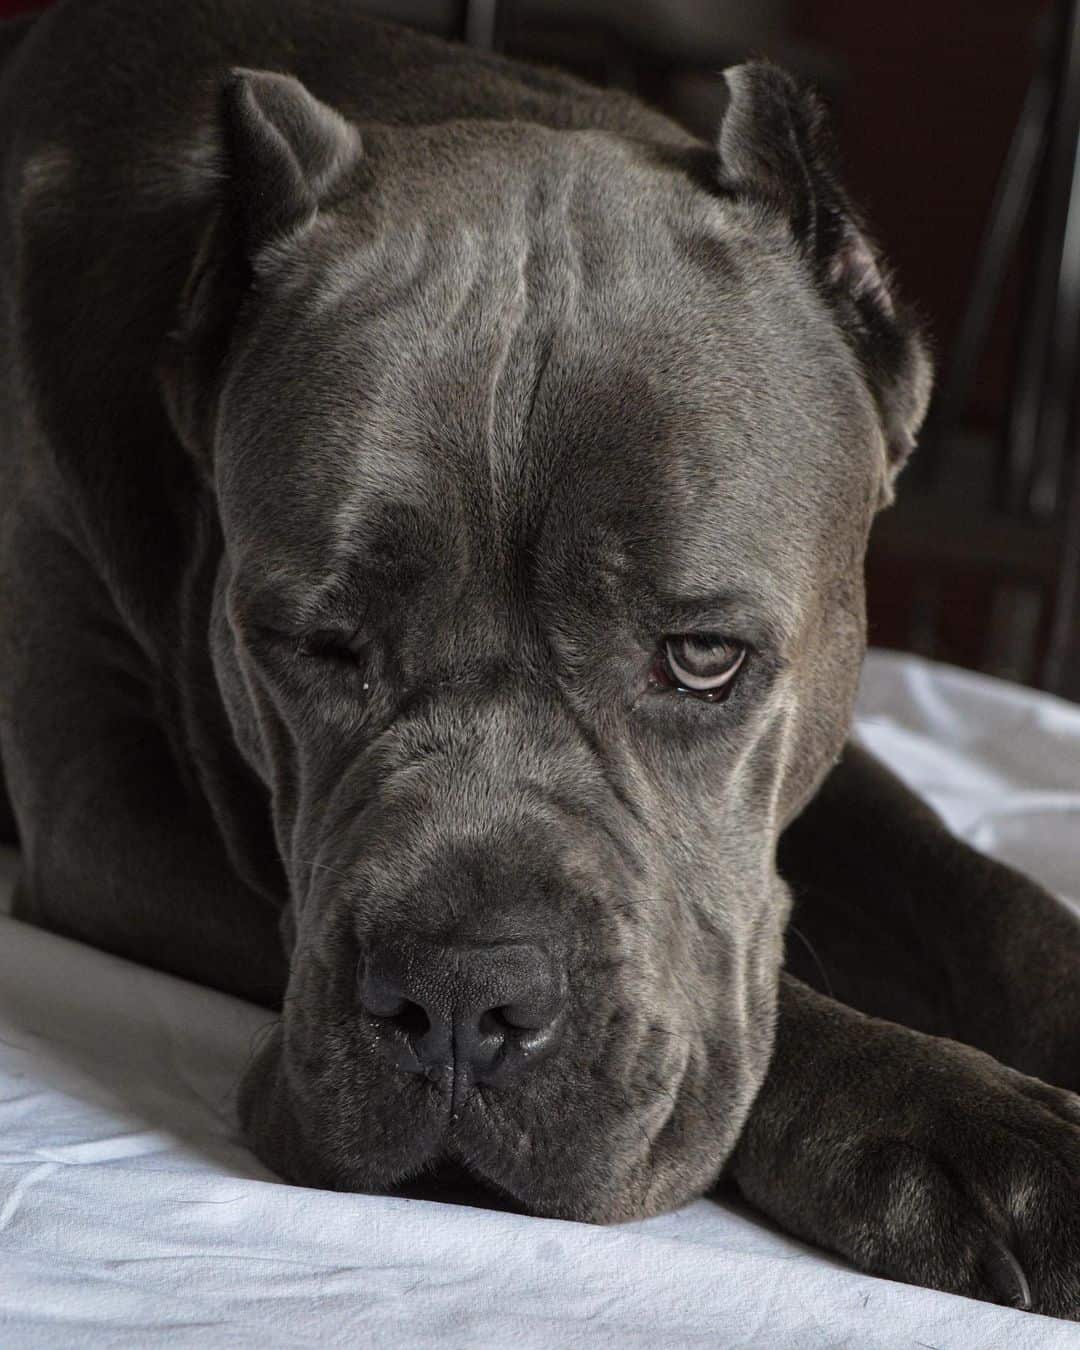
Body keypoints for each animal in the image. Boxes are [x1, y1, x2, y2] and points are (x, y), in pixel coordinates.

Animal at [2, 0, 1080, 1317]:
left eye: (704, 658)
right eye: (321, 645)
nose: (460, 998)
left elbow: (987, 894)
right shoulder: (105, 823)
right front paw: (961, 1125)